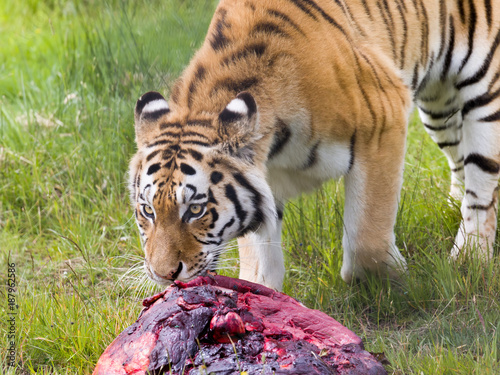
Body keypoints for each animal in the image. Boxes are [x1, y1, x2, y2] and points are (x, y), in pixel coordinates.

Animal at [128, 0, 500, 290]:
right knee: (459, 161)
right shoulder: (261, 186)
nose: (163, 275)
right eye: (147, 210)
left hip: (485, 90)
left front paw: (395, 279)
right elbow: (260, 258)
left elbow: (367, 237)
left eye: (195, 210)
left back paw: (469, 258)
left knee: (482, 187)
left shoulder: (385, 118)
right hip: (439, 108)